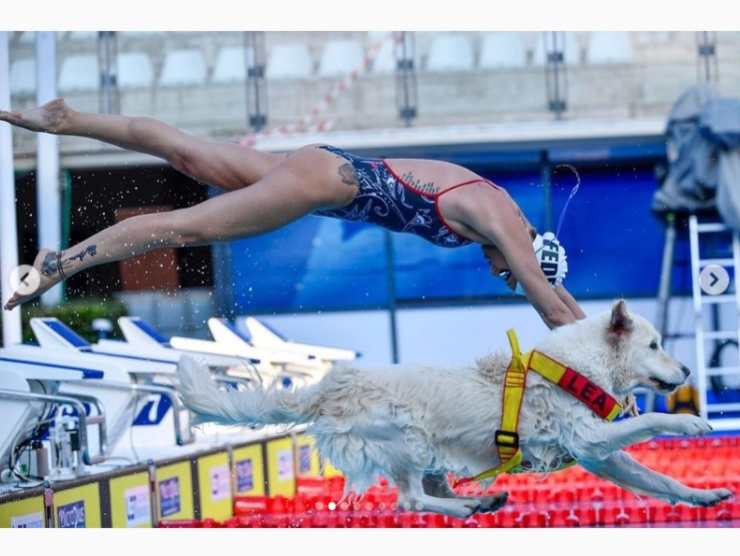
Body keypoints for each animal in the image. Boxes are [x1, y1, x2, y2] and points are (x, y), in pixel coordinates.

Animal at [176, 302, 732, 520]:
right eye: (655, 345)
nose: (687, 369)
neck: (579, 366)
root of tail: (334, 386)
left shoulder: (599, 456)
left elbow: (659, 480)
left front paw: (704, 496)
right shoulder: (589, 439)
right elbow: (651, 420)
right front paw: (688, 420)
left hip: (426, 452)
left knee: (429, 494)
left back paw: (479, 502)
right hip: (408, 440)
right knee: (410, 501)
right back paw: (468, 507)